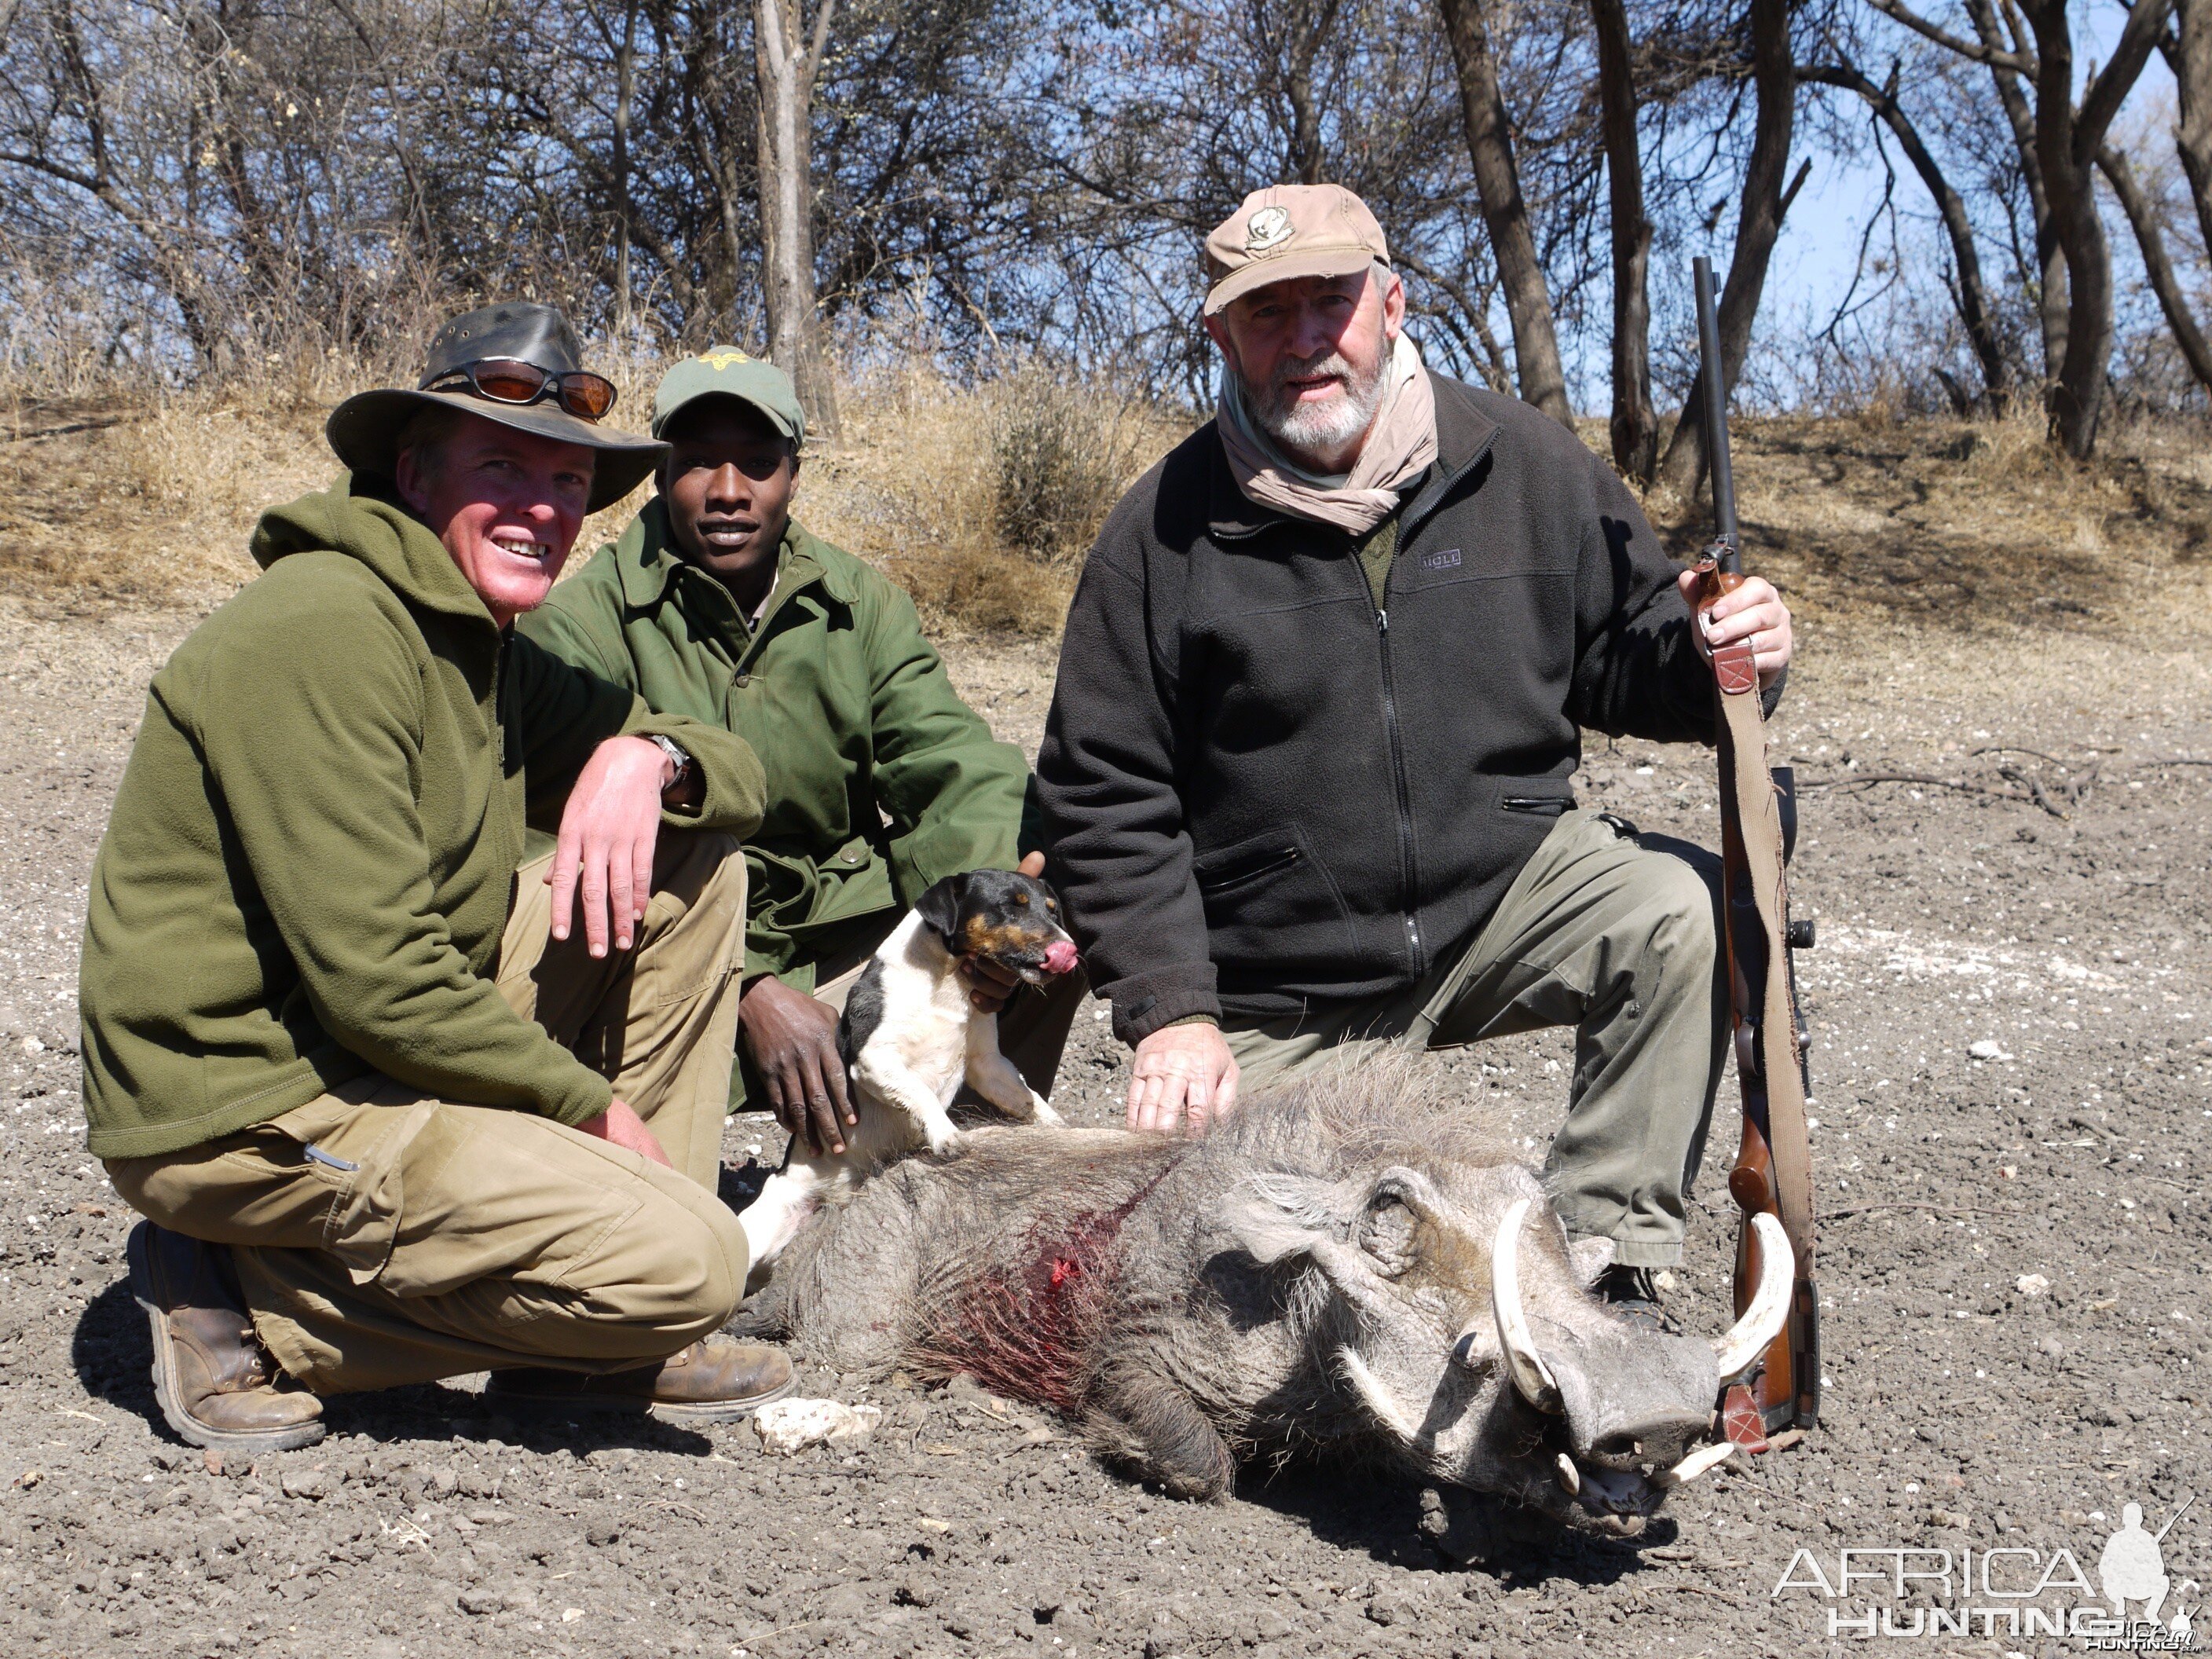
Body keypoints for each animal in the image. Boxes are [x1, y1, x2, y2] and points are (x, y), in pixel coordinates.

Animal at [734, 876, 1079, 1283]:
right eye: (1011, 905)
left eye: (1053, 910)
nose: (1070, 949)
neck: (947, 984)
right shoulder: (874, 1059)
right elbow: (921, 1093)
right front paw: (946, 1136)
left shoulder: (987, 1064)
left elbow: (1028, 1099)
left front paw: (1060, 1129)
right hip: (761, 1231)